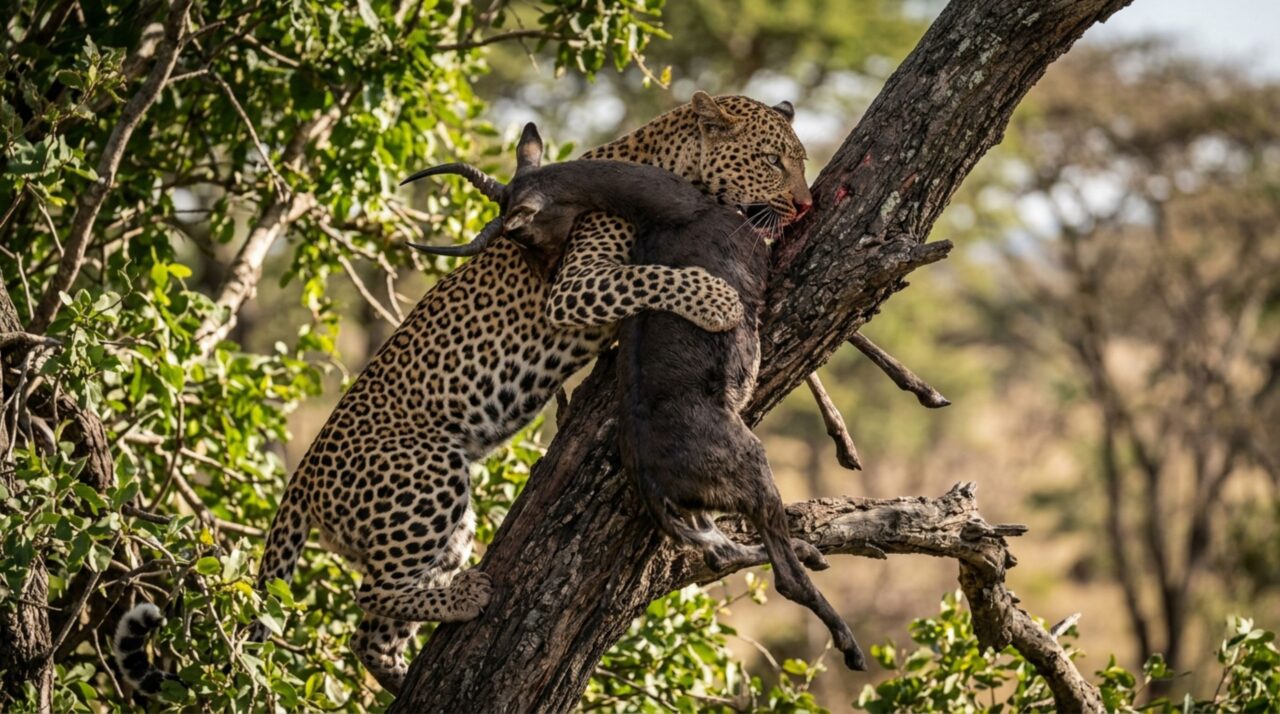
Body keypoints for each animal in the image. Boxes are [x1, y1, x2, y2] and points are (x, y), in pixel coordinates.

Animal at [114, 92, 813, 696]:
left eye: (800, 159)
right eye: (772, 160)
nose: (806, 207)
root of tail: (302, 480)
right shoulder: (575, 287)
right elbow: (651, 277)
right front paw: (719, 301)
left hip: (435, 524)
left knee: (370, 631)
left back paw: (409, 665)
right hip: (429, 478)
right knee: (368, 596)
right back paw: (467, 594)